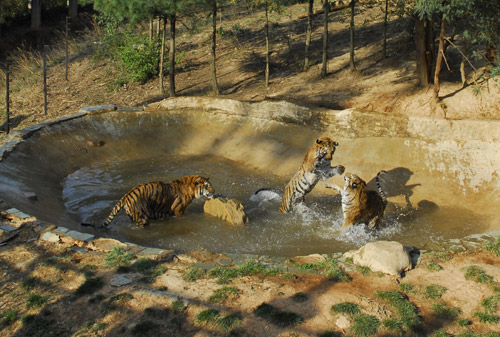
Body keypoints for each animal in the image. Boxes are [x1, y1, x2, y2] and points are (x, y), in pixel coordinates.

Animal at [81, 173, 213, 228]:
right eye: (207, 186)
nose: (214, 191)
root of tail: (126, 196)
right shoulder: (178, 211)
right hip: (142, 217)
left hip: (133, 215)